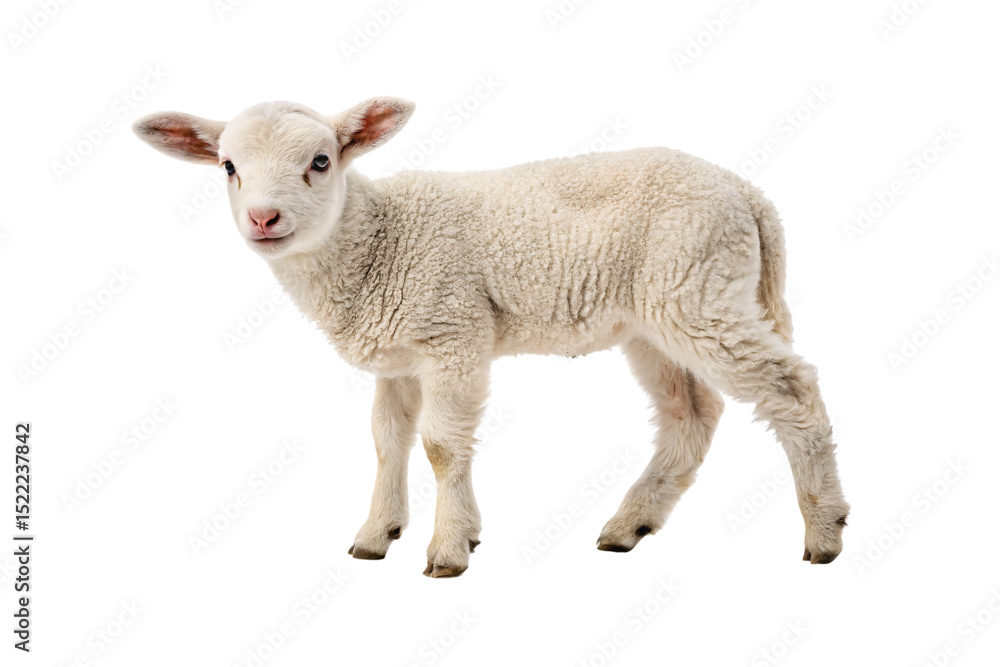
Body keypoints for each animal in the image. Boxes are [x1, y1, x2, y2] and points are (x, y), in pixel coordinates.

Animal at [133, 97, 849, 577]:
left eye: (320, 161)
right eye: (227, 166)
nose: (263, 218)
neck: (375, 241)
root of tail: (749, 194)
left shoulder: (453, 332)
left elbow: (441, 446)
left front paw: (449, 550)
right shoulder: (399, 358)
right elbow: (386, 442)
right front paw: (378, 533)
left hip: (698, 288)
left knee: (792, 388)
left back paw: (825, 530)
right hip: (656, 315)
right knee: (691, 413)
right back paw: (630, 525)